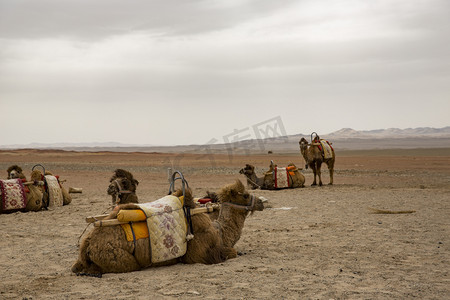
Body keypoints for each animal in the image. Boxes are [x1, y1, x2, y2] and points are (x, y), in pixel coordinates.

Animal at [70, 179, 264, 276]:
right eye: (245, 195)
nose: (262, 202)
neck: (220, 231)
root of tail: (89, 243)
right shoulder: (201, 255)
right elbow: (233, 252)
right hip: (122, 259)